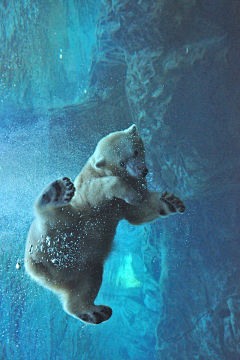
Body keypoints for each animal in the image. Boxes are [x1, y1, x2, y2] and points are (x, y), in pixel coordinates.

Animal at [24, 125, 186, 324]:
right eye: (122, 162)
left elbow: (138, 212)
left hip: (80, 268)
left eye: (135, 151)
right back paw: (55, 193)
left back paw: (94, 312)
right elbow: (98, 191)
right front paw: (133, 195)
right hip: (56, 230)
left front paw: (171, 201)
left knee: (85, 287)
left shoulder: (128, 197)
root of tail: (34, 266)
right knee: (53, 218)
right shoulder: (88, 186)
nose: (142, 170)